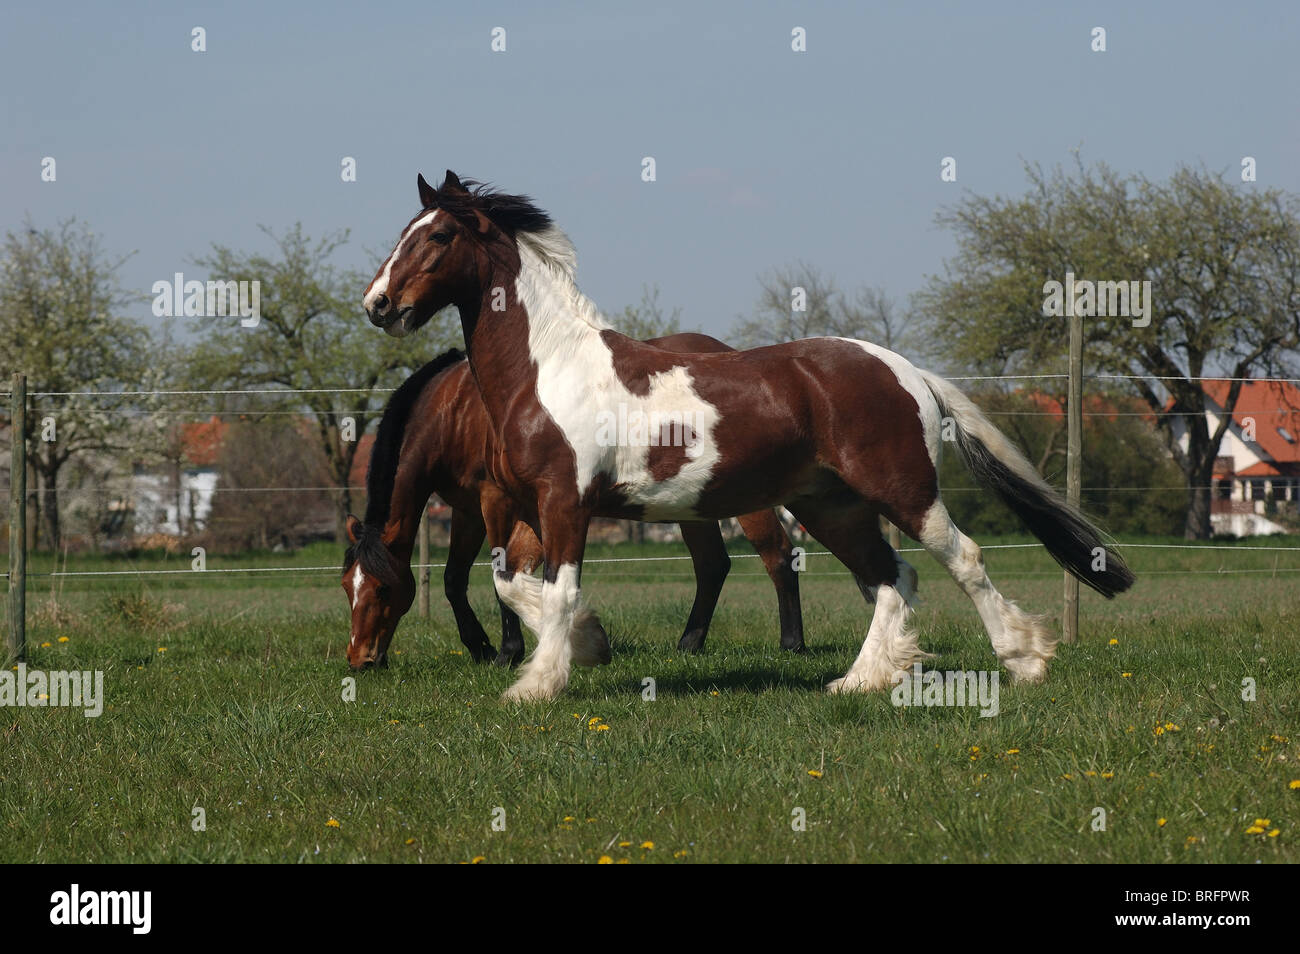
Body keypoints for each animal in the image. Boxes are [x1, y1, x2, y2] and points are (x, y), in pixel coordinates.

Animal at [338, 345, 800, 670]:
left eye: (382, 589)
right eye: (346, 586)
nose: (360, 659)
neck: (455, 410)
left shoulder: (495, 500)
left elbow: (500, 573)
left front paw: (506, 651)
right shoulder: (468, 509)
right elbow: (456, 579)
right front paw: (483, 647)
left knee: (778, 554)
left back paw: (791, 643)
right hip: (692, 507)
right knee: (712, 565)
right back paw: (688, 644)